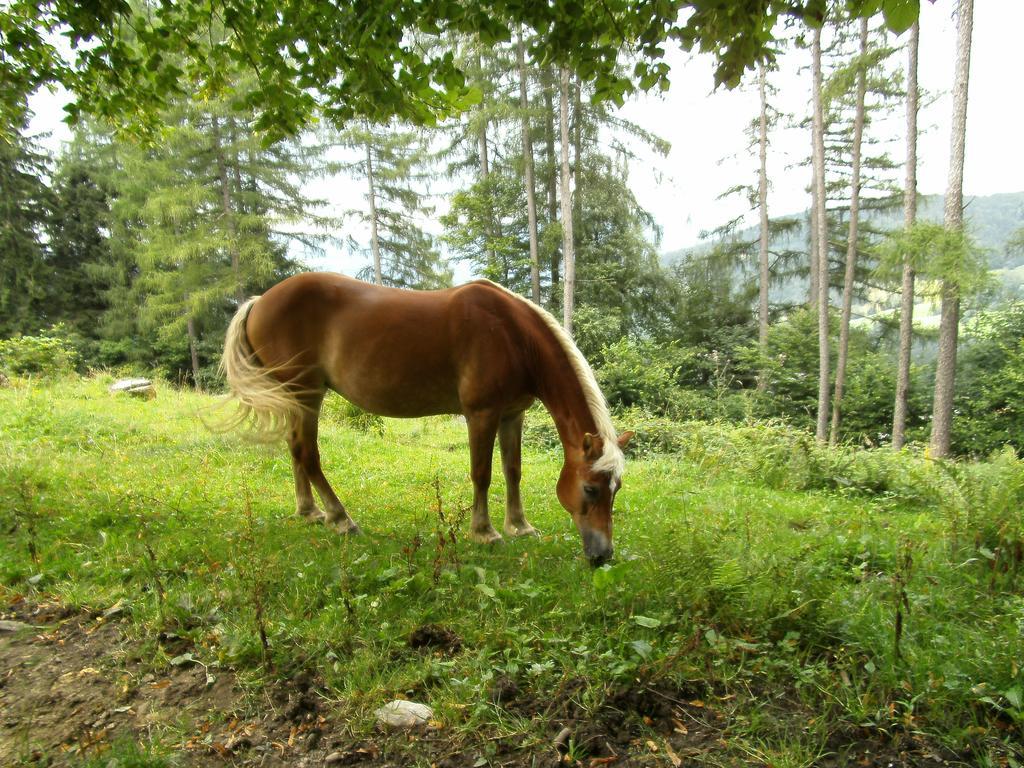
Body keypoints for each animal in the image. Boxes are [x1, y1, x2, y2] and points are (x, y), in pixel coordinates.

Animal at [220, 274, 626, 565]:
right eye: (590, 488)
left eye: (616, 488)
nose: (602, 556)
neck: (512, 335)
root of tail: (259, 302)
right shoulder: (481, 414)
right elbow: (482, 474)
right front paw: (485, 531)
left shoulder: (513, 414)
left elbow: (513, 471)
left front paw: (520, 526)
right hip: (306, 393)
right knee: (307, 453)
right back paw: (340, 518)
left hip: (295, 397)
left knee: (294, 450)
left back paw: (310, 512)